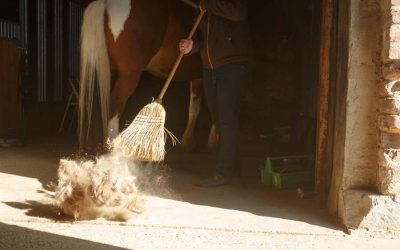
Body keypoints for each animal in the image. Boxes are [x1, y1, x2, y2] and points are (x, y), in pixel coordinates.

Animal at [77, 0, 217, 155]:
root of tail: (106, 4)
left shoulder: (198, 77)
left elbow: (194, 106)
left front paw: (188, 142)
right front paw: (213, 141)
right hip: (128, 76)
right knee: (114, 108)